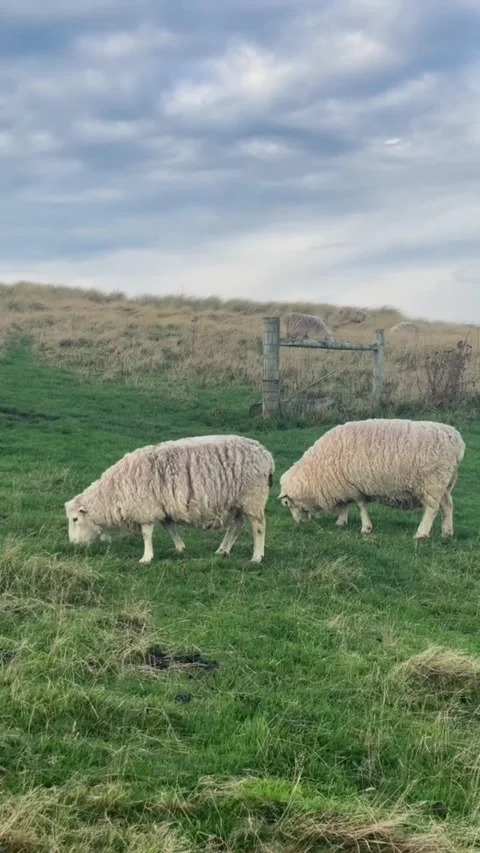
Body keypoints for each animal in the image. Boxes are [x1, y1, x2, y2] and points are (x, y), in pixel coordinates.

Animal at [65, 435, 274, 564]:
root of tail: (266, 455)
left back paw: (257, 557)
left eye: (75, 519)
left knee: (258, 527)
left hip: (253, 497)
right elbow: (169, 528)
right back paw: (223, 550)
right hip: (237, 502)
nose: (73, 544)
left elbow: (146, 534)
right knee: (236, 526)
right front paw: (180, 548)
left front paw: (146, 558)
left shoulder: (145, 507)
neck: (113, 492)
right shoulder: (161, 507)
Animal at [279, 419, 465, 539]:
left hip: (433, 482)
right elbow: (344, 506)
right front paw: (341, 522)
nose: (298, 523)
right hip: (444, 483)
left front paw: (366, 528)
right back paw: (447, 532)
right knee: (447, 506)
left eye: (288, 504)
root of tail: (455, 439)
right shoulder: (343, 485)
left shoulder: (354, 487)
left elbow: (360, 506)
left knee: (432, 509)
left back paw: (421, 533)